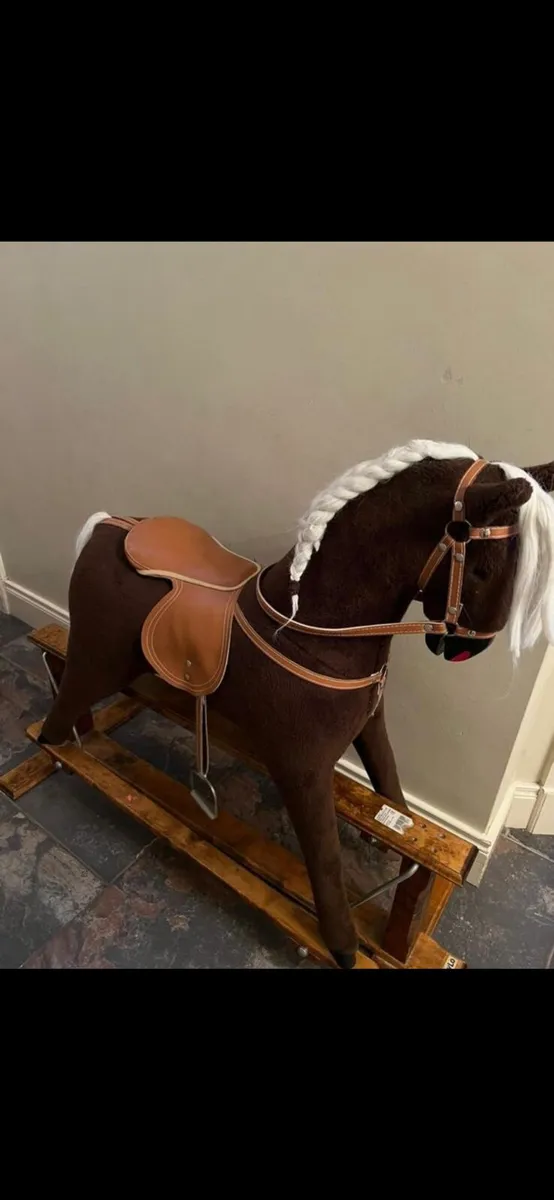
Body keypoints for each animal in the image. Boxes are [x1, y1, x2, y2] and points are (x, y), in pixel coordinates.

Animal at [37, 439, 554, 967]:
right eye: (484, 568)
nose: (469, 649)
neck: (313, 630)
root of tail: (108, 526)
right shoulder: (301, 766)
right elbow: (324, 857)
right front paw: (343, 944)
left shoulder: (370, 724)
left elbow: (391, 784)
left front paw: (387, 837)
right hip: (97, 659)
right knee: (58, 715)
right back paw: (57, 747)